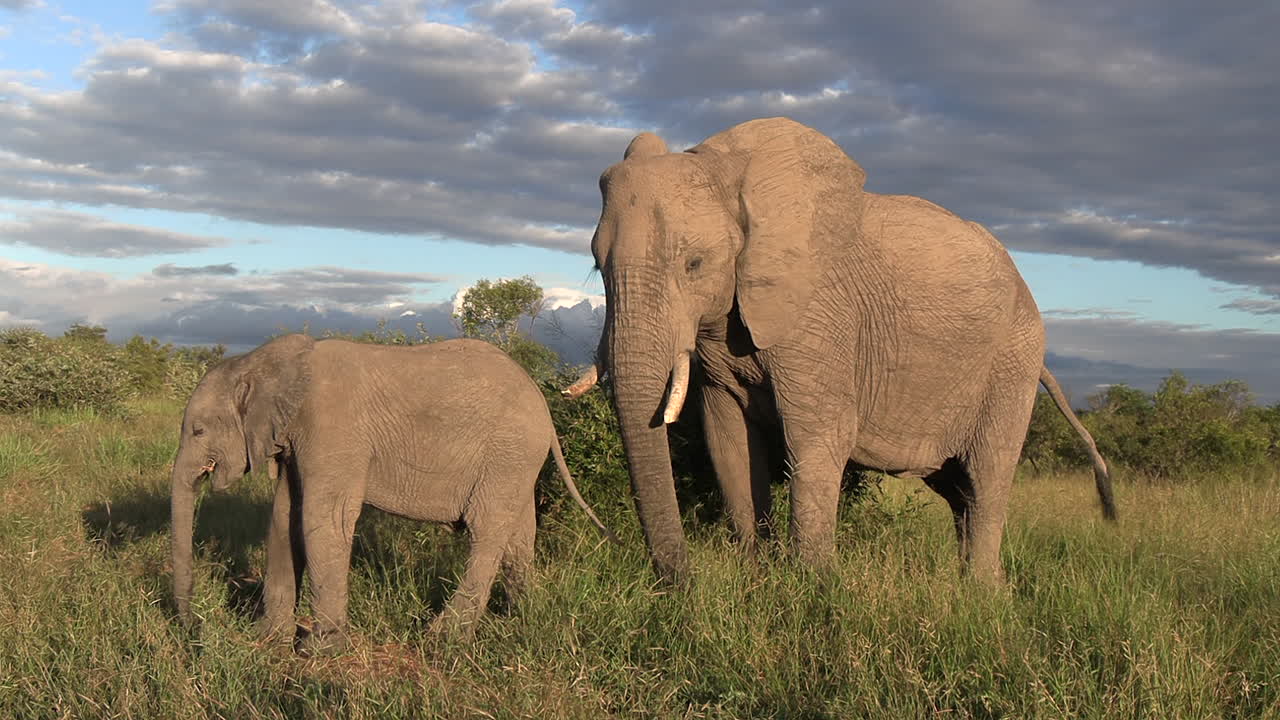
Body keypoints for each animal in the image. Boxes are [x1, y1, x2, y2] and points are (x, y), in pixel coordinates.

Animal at [171, 334, 613, 653]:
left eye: (198, 430)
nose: (195, 627)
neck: (270, 362)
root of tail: (544, 405)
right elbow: (284, 519)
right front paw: (266, 640)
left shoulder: (333, 429)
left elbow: (322, 518)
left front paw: (319, 651)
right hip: (515, 461)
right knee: (519, 536)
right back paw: (523, 616)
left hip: (509, 450)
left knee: (486, 532)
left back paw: (443, 640)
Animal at [563, 116, 1116, 586]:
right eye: (596, 265)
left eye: (695, 264)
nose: (682, 584)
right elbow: (729, 441)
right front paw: (756, 579)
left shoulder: (820, 316)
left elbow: (819, 435)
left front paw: (816, 590)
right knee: (958, 488)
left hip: (1012, 359)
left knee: (986, 477)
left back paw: (980, 595)